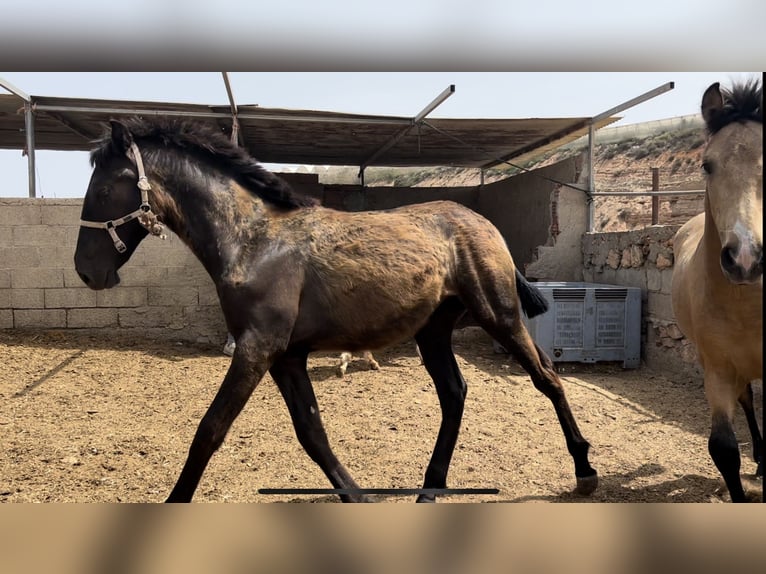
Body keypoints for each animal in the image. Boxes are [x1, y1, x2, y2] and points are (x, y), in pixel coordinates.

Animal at [73, 118, 600, 504]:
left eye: (103, 190)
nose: (86, 271)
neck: (253, 242)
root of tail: (480, 220)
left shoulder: (257, 349)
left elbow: (210, 430)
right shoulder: (285, 356)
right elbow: (312, 432)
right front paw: (357, 497)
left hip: (500, 316)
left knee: (547, 378)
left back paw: (585, 469)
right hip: (433, 331)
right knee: (455, 394)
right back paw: (429, 489)